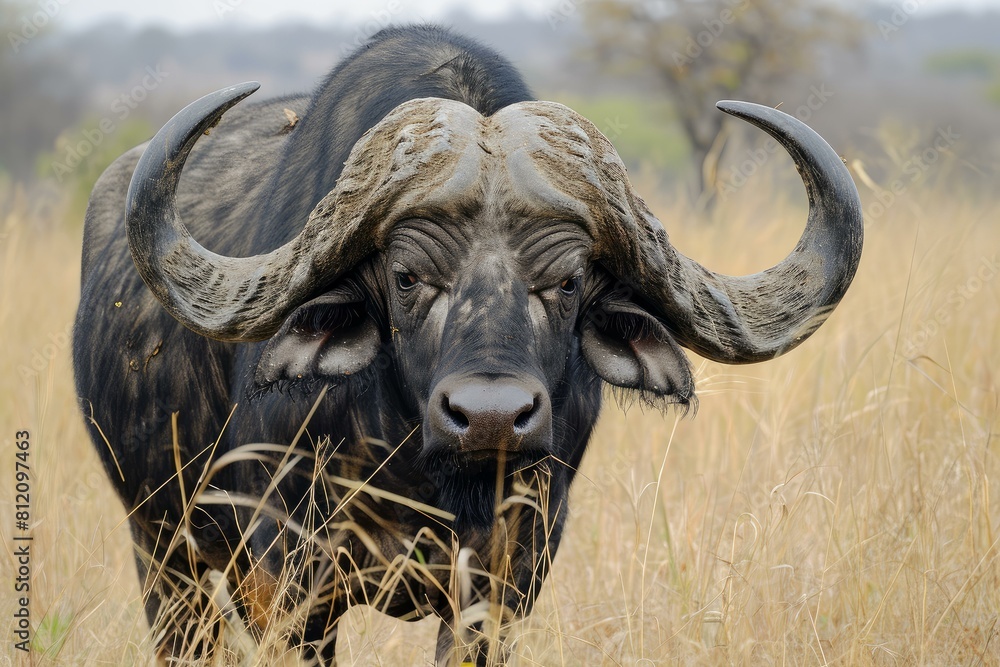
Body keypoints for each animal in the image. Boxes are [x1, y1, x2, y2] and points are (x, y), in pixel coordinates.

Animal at [73, 25, 862, 665]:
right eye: (406, 275)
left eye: (569, 281)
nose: (490, 417)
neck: (417, 467)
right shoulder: (289, 578)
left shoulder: (507, 578)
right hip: (162, 551)